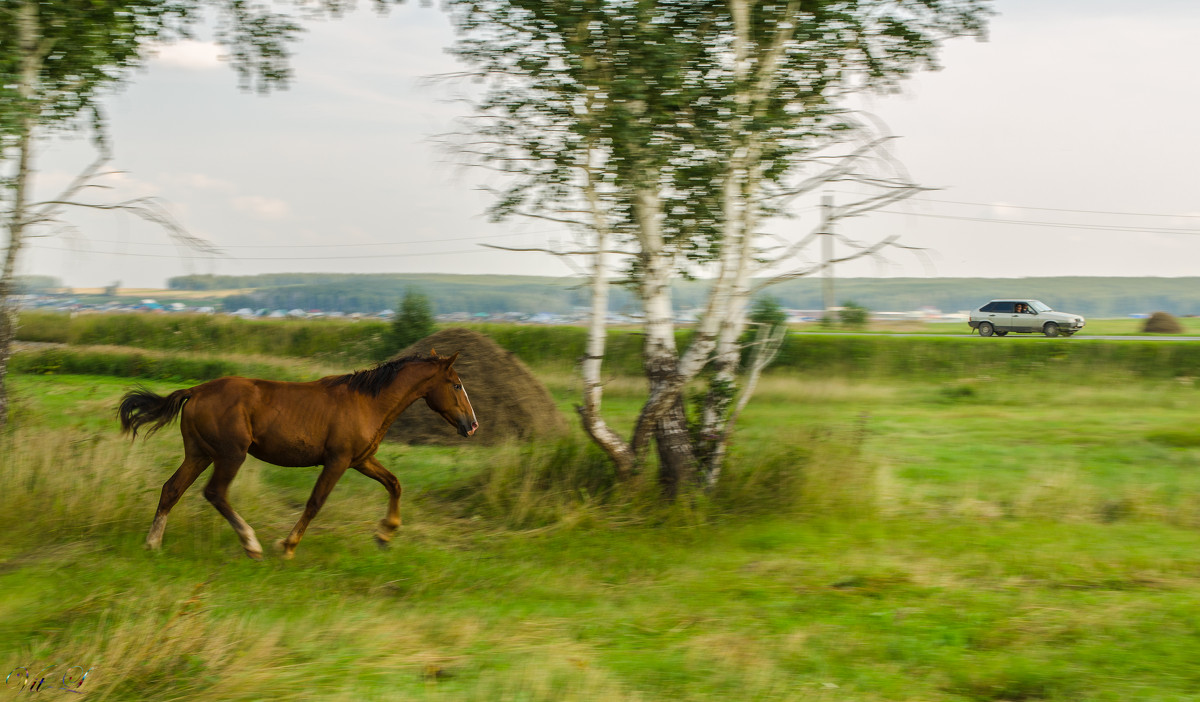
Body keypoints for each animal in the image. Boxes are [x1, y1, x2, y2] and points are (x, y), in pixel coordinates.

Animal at [115, 348, 477, 559]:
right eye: (457, 385)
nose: (472, 425)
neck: (367, 402)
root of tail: (197, 390)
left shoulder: (361, 460)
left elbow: (395, 483)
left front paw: (385, 535)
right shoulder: (338, 461)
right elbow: (315, 503)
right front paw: (287, 546)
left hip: (199, 454)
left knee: (172, 489)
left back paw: (152, 544)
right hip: (231, 455)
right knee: (214, 492)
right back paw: (251, 544)